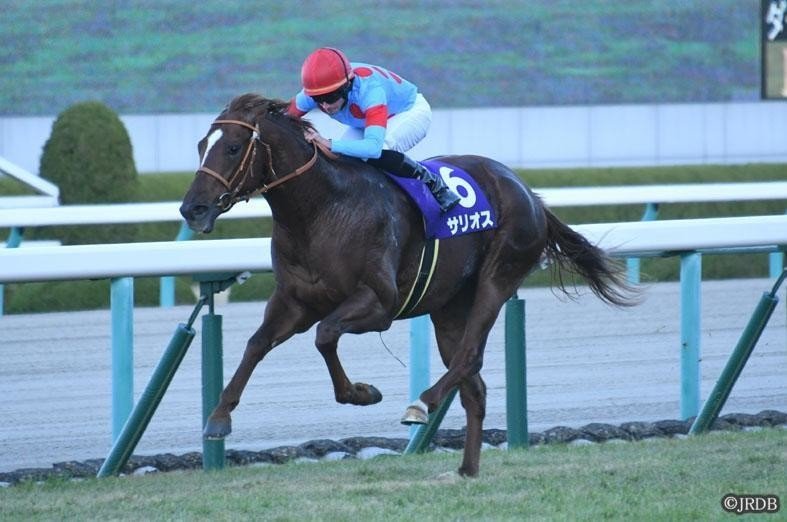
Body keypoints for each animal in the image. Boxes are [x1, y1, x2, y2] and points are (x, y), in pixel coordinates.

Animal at [179, 93, 637, 477]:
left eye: (232, 147)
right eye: (201, 144)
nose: (192, 209)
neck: (322, 209)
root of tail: (529, 192)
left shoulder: (379, 303)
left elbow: (325, 335)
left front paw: (362, 392)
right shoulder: (293, 301)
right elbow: (257, 343)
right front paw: (219, 417)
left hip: (499, 275)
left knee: (468, 356)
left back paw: (422, 404)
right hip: (449, 307)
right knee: (474, 384)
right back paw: (467, 470)